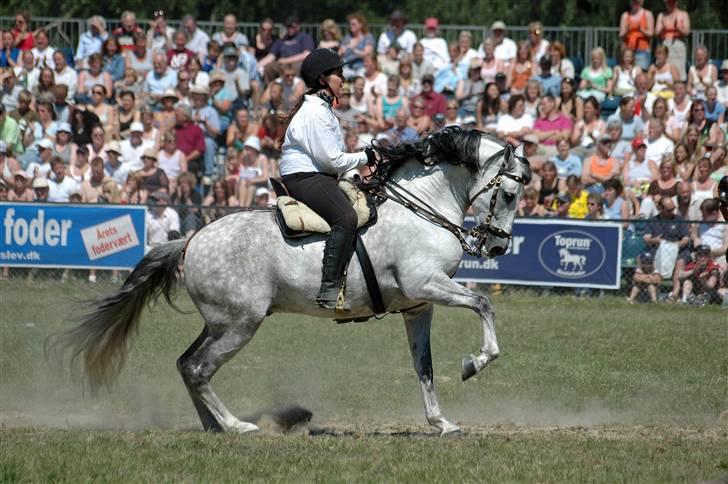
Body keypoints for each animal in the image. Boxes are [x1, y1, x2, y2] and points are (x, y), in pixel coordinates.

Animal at [52, 129, 528, 434]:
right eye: (508, 194)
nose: (498, 247)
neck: (421, 208)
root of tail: (191, 239)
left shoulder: (418, 306)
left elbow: (423, 367)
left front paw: (441, 422)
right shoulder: (426, 285)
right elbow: (484, 304)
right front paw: (475, 362)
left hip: (220, 323)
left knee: (187, 365)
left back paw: (212, 425)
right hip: (241, 324)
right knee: (200, 369)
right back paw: (236, 426)